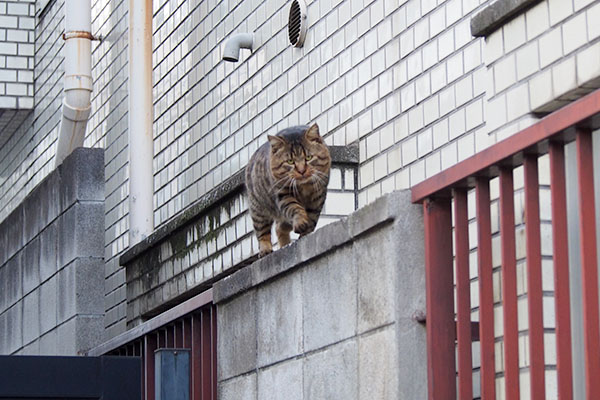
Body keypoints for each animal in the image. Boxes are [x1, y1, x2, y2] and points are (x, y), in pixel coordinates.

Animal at [245, 123, 332, 258]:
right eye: (290, 161)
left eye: (308, 157)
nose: (301, 171)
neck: (304, 187)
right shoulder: (283, 195)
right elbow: (295, 208)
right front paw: (301, 222)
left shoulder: (318, 197)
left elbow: (312, 217)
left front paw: (306, 232)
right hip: (258, 209)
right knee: (262, 232)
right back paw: (265, 249)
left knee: (279, 227)